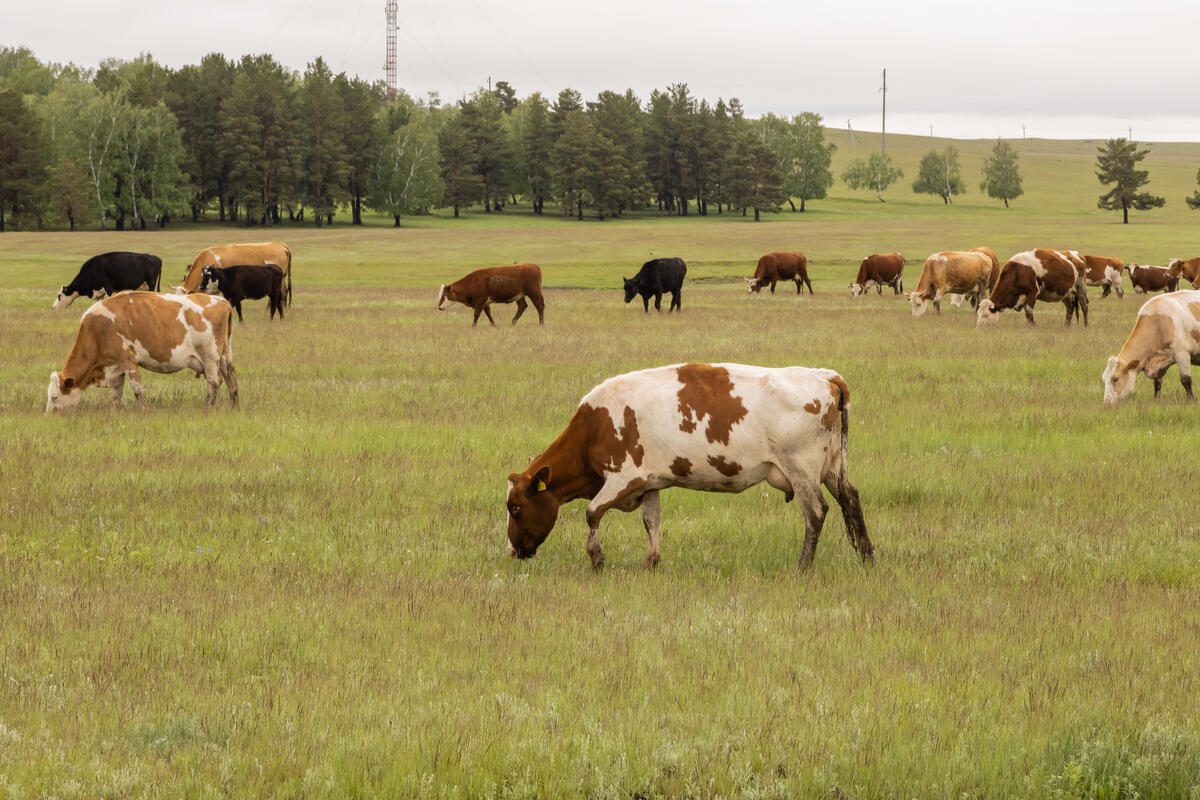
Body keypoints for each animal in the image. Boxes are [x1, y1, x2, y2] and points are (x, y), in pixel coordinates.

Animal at [45, 291, 236, 412]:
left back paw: (207, 408)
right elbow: (116, 394)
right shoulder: (116, 367)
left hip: (210, 358)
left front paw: (145, 410)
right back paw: (235, 405)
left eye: (54, 397)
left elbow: (137, 390)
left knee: (214, 382)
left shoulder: (128, 361)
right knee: (230, 377)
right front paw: (114, 411)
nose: (49, 415)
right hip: (224, 356)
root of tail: (221, 300)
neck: (97, 331)